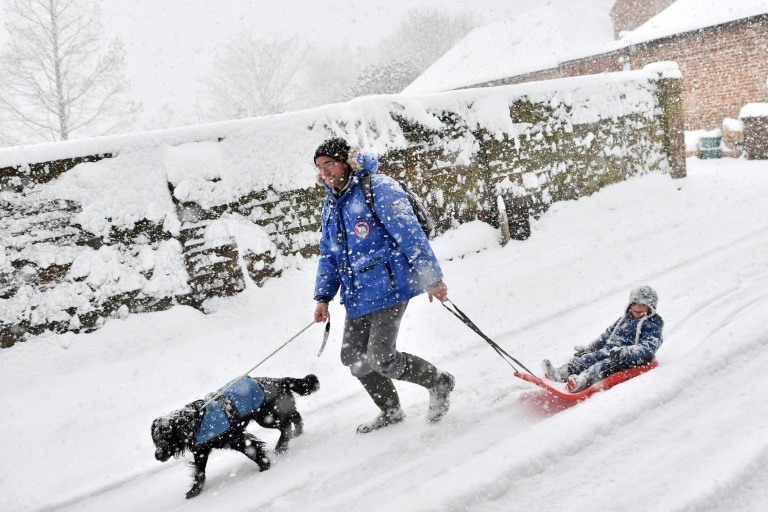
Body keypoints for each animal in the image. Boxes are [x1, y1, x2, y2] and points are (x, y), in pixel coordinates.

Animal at [152, 374, 320, 498]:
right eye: (155, 441)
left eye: (166, 438)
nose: (157, 455)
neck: (196, 420)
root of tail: (280, 381)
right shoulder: (201, 451)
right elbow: (199, 472)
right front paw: (195, 490)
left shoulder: (236, 438)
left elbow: (253, 451)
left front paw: (264, 465)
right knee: (294, 416)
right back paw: (296, 434)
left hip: (267, 417)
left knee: (286, 426)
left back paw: (281, 446)